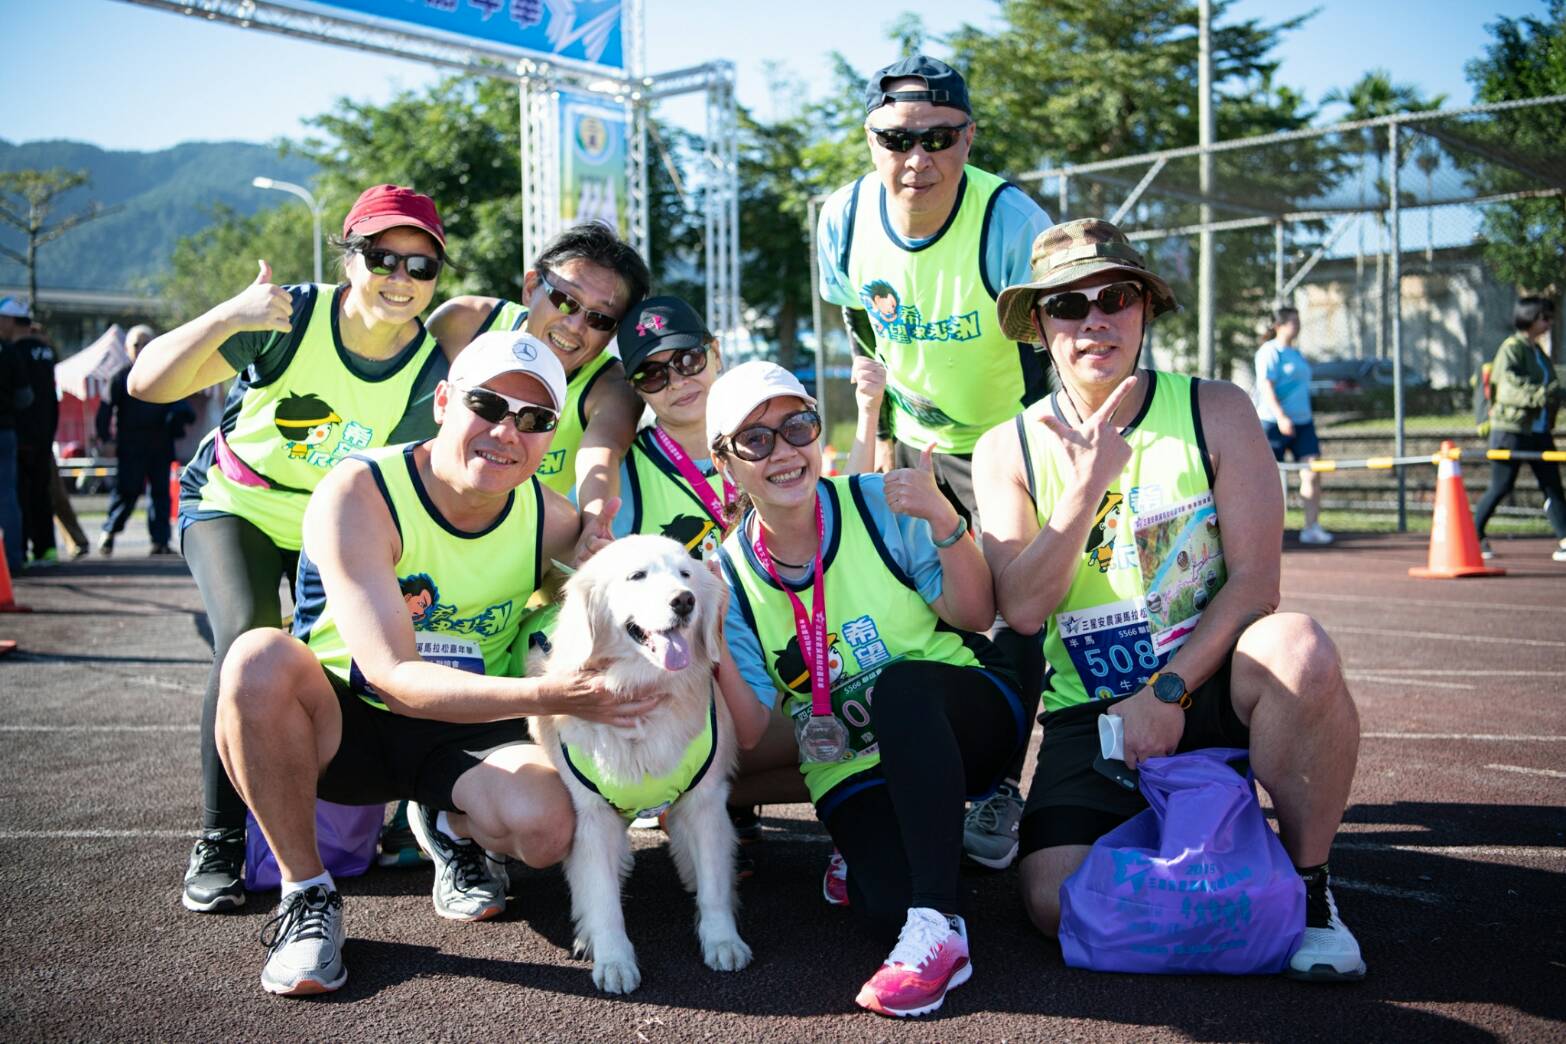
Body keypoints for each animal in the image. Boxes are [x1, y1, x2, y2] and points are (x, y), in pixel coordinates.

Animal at [529, 535, 754, 995]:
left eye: (686, 574)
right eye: (637, 575)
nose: (684, 601)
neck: (642, 688)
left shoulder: (705, 803)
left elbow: (714, 886)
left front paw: (722, 941)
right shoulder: (591, 816)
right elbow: (602, 898)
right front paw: (614, 960)